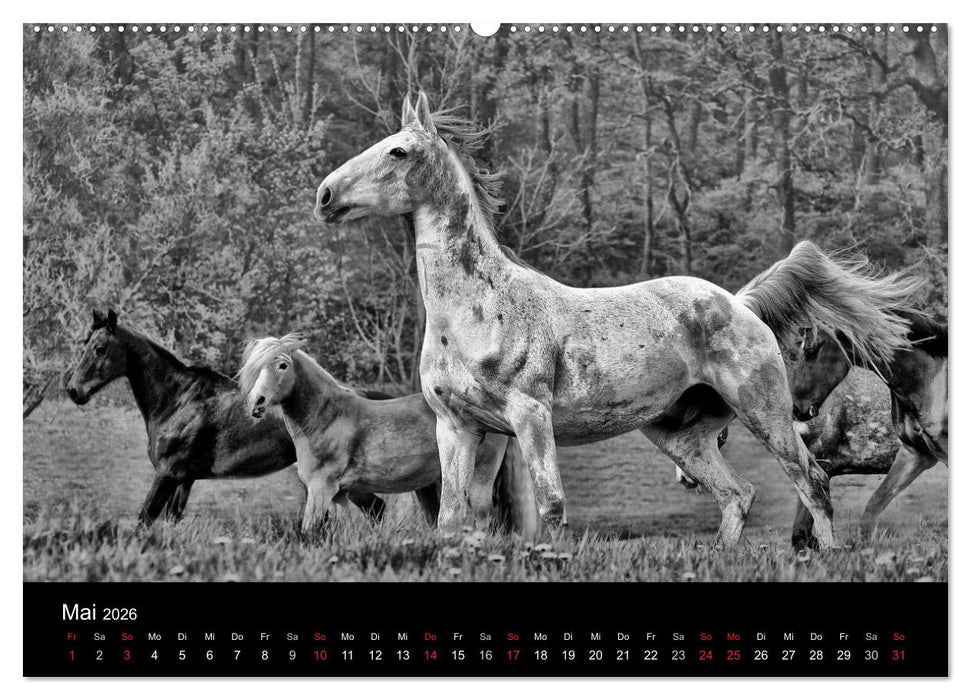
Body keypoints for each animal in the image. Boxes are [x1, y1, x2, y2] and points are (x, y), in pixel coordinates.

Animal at [65, 310, 391, 524]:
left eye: (100, 348)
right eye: (85, 344)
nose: (73, 391)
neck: (178, 400)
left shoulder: (167, 474)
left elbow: (144, 520)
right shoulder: (183, 480)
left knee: (376, 509)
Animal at [238, 334, 537, 534]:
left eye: (283, 365)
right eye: (255, 368)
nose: (257, 403)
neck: (327, 418)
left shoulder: (321, 489)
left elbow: (309, 531)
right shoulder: (340, 494)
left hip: (479, 480)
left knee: (484, 517)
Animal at [314, 91, 922, 548]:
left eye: (398, 151)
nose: (324, 195)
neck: (475, 312)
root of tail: (741, 304)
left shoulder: (531, 417)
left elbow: (551, 506)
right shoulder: (458, 426)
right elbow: (452, 518)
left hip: (765, 411)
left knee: (810, 481)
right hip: (680, 435)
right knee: (738, 494)